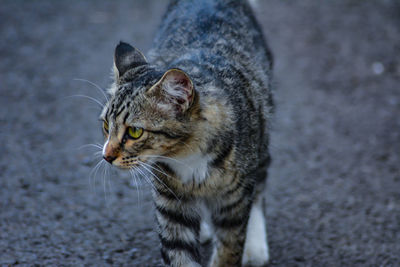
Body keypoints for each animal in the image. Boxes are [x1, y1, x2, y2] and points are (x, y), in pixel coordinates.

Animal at [101, 0, 276, 266]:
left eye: (134, 131)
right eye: (106, 126)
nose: (106, 156)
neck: (188, 156)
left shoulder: (233, 202)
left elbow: (229, 249)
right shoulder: (171, 204)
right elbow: (180, 253)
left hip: (262, 130)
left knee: (260, 183)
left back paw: (254, 246)